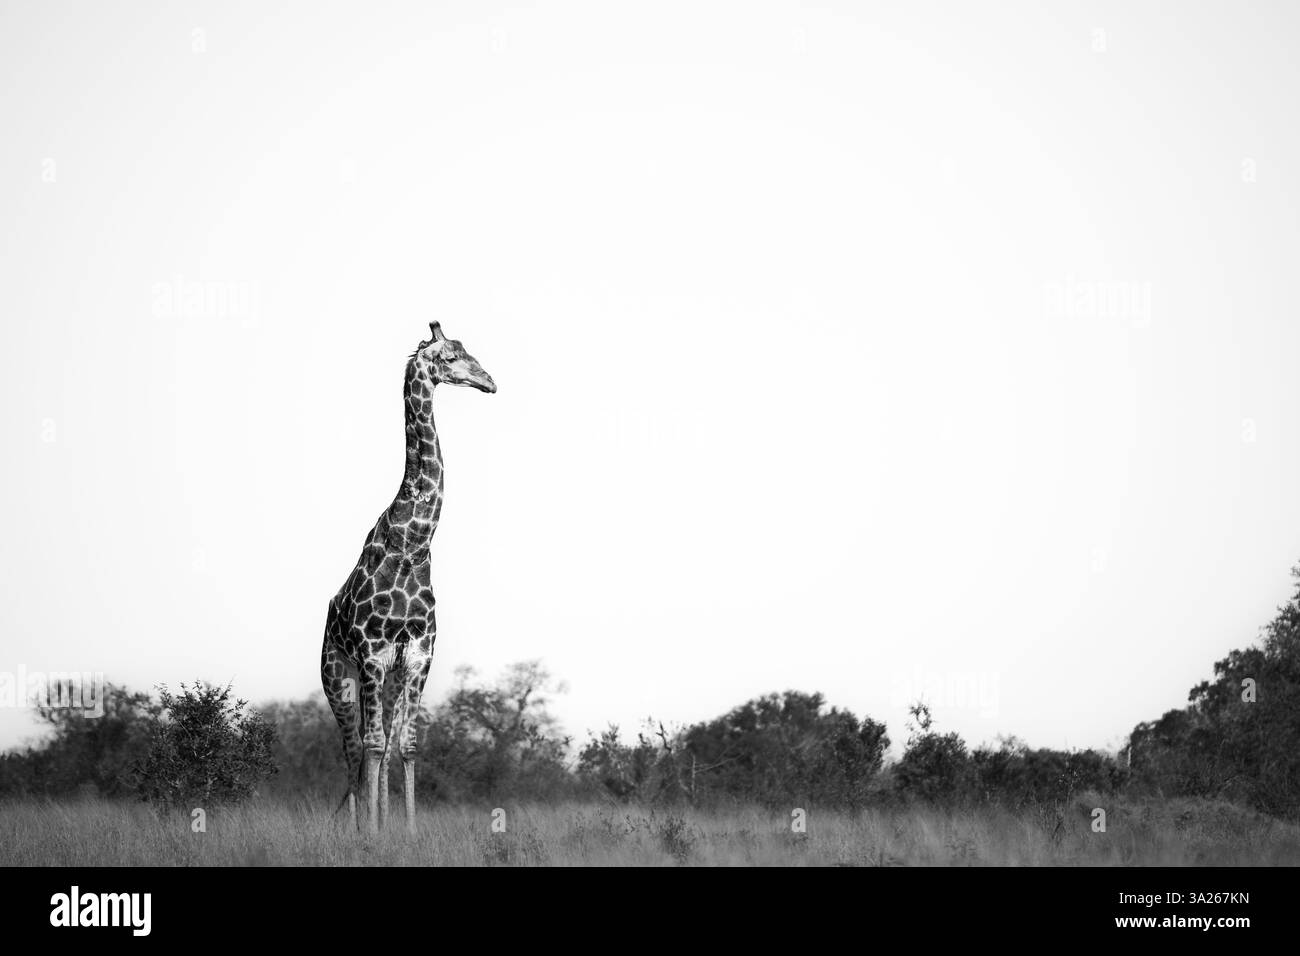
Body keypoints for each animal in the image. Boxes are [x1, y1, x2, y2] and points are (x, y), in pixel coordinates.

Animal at [321, 322, 496, 834]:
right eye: (451, 357)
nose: (490, 381)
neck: (413, 544)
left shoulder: (417, 656)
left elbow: (408, 746)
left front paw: (409, 832)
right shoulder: (372, 654)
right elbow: (374, 745)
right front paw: (372, 835)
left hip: (387, 678)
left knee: (374, 745)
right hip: (338, 673)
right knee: (353, 747)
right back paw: (358, 827)